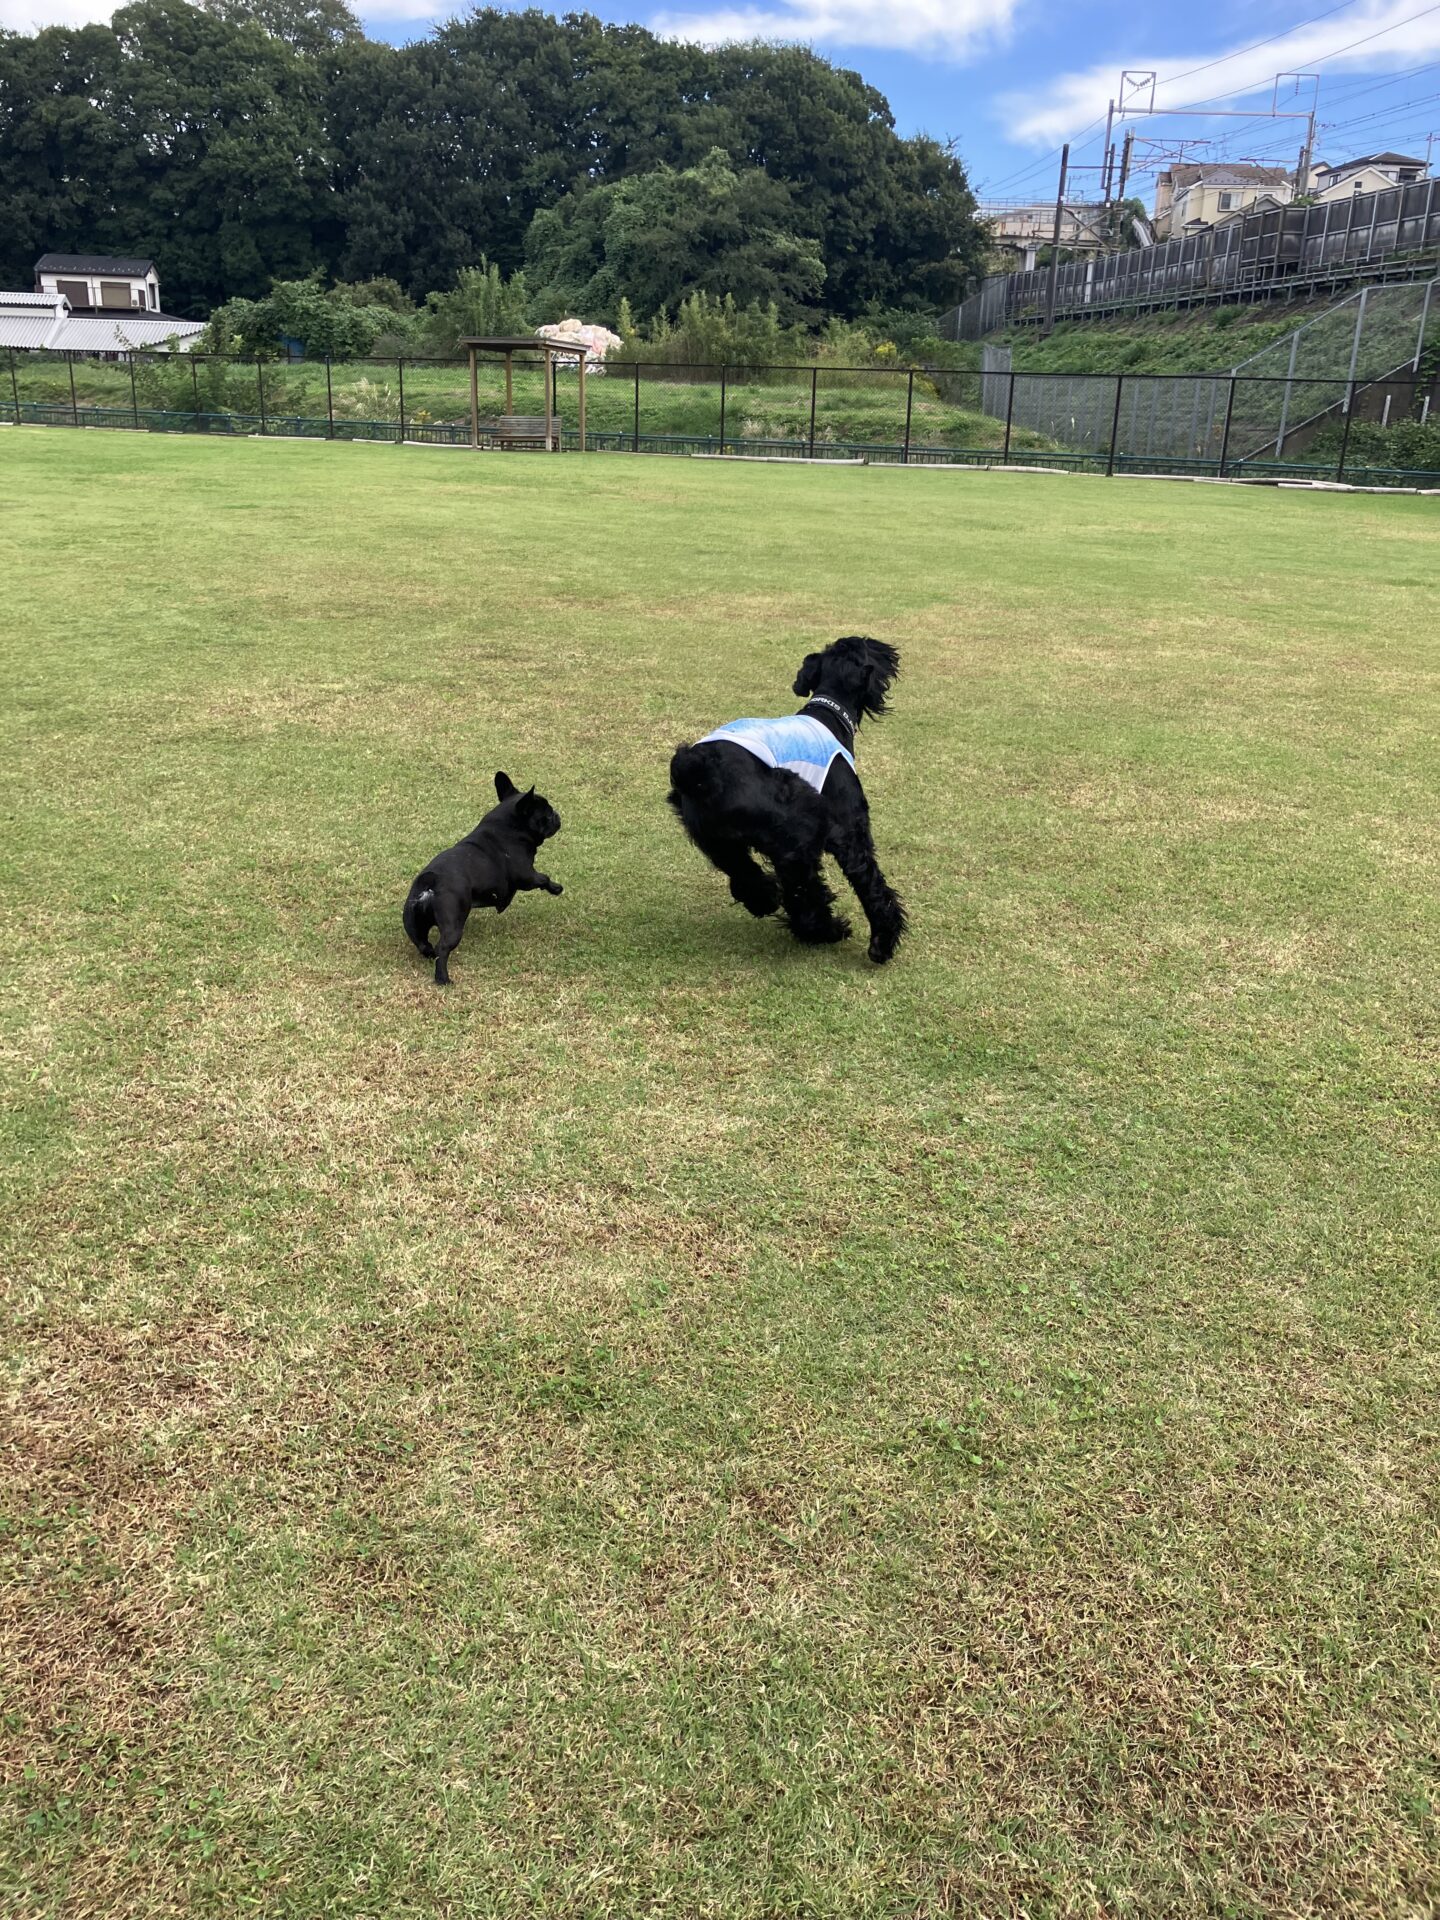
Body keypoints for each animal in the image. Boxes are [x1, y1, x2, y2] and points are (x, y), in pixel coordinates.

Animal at [403, 772, 564, 985]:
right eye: (546, 814)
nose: (557, 815)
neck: (508, 827)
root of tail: (430, 882)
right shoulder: (526, 875)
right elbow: (544, 878)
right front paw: (556, 888)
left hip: (413, 922)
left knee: (423, 943)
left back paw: (429, 955)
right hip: (453, 923)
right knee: (443, 949)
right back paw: (443, 978)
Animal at [668, 636, 906, 964]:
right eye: (867, 646)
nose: (891, 654)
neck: (830, 716)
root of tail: (696, 766)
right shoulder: (850, 829)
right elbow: (870, 881)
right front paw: (883, 940)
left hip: (718, 842)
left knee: (748, 875)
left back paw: (767, 899)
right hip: (799, 831)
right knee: (804, 896)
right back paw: (828, 930)